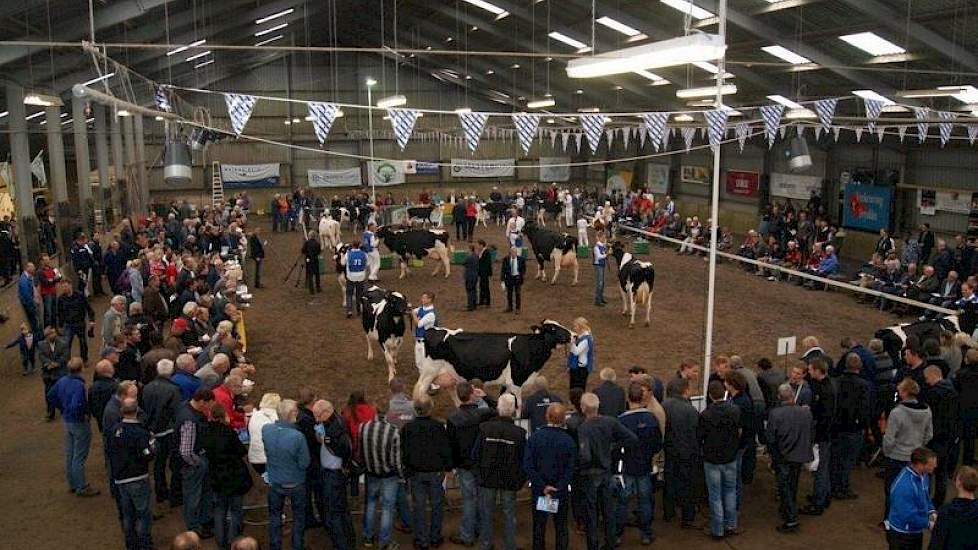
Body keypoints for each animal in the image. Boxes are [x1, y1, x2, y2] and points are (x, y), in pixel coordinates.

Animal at [414, 322, 572, 408]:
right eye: (552, 328)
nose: (572, 334)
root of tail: (430, 331)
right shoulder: (516, 381)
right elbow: (519, 405)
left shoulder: (508, 383)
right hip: (429, 372)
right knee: (420, 390)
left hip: (448, 374)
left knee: (452, 390)